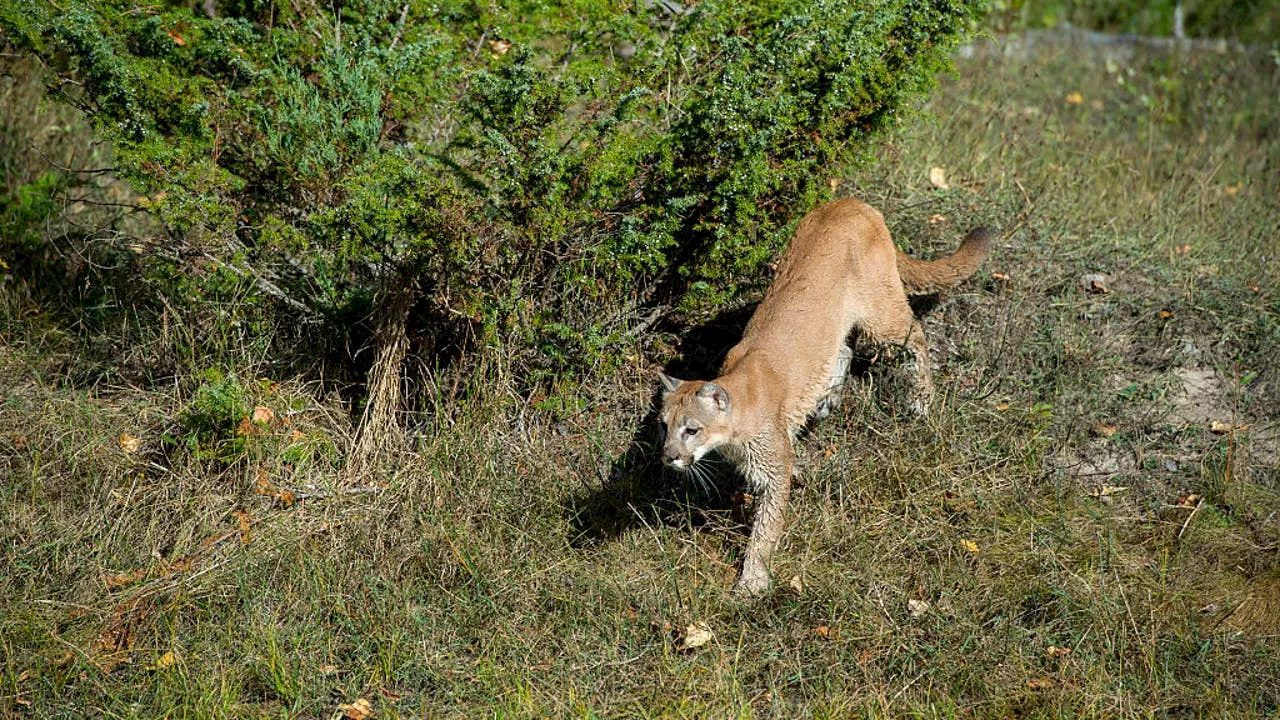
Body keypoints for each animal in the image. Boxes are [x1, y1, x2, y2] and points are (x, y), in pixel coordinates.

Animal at [655, 196, 993, 594]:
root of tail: (854, 202)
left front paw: (752, 584)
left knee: (917, 336)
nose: (668, 457)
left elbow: (766, 529)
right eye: (664, 426)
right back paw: (828, 398)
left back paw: (921, 401)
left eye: (691, 429)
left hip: (880, 313)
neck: (739, 405)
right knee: (843, 348)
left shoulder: (772, 472)